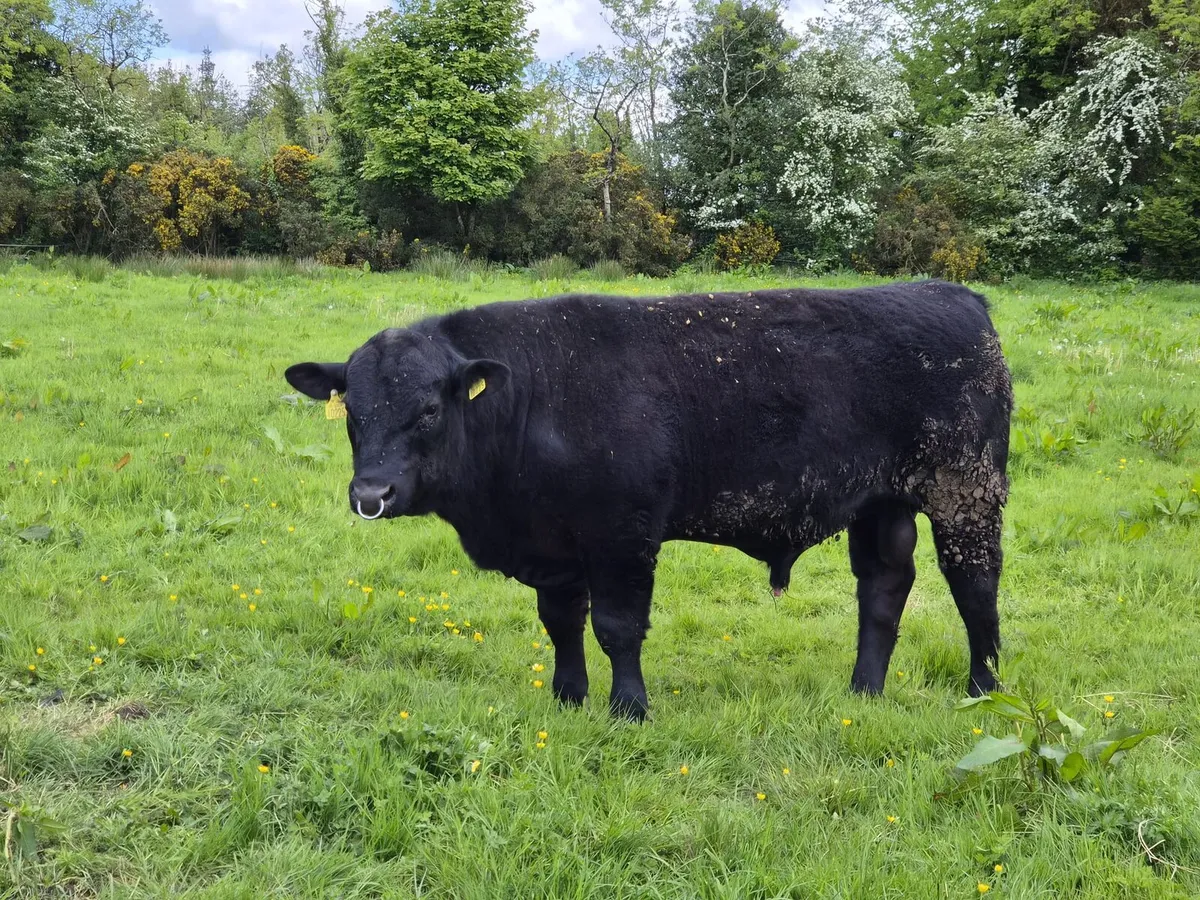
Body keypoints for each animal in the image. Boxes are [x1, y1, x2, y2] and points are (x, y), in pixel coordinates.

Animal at [285, 280, 1012, 720]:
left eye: (430, 409)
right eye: (352, 409)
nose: (371, 493)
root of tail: (957, 297)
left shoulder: (622, 534)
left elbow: (617, 627)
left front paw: (628, 709)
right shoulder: (555, 546)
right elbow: (561, 622)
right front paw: (568, 697)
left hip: (967, 493)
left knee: (975, 587)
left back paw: (984, 689)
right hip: (882, 503)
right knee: (883, 590)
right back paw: (864, 691)